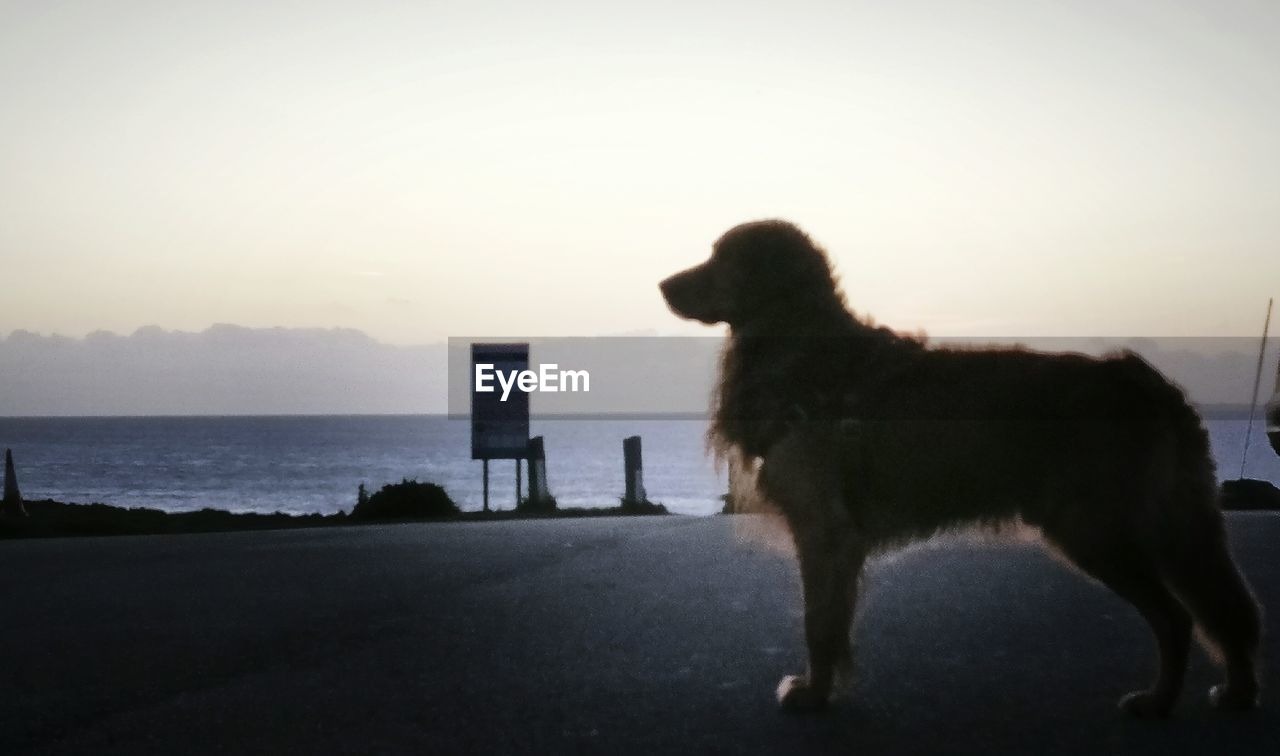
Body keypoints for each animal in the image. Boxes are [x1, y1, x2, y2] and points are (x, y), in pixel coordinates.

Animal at [660, 221, 1259, 716]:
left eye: (720, 258)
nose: (664, 285)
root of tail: (1145, 382)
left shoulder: (823, 529)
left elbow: (818, 624)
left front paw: (814, 694)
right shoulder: (835, 537)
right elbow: (830, 621)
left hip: (1094, 529)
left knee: (1178, 616)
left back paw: (1159, 700)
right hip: (1165, 525)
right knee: (1226, 609)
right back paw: (1236, 690)